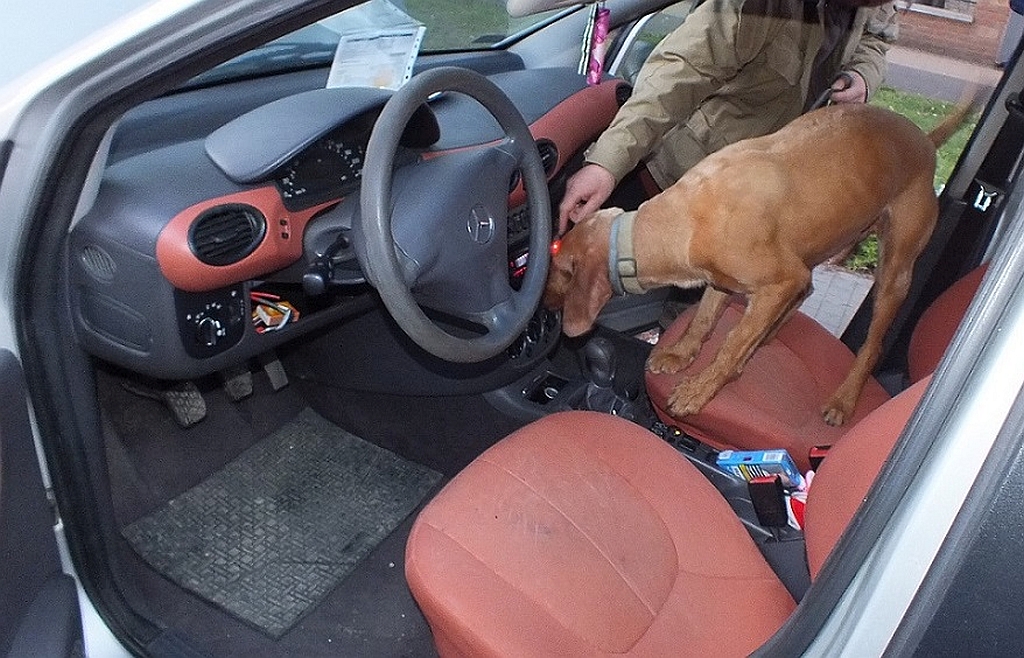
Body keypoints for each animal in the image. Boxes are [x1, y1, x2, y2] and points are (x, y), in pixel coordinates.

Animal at [545, 101, 973, 426]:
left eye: (555, 266)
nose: (541, 304)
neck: (688, 215)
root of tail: (925, 141)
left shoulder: (778, 280)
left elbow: (731, 344)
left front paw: (700, 389)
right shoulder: (727, 279)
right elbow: (704, 319)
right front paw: (681, 354)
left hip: (894, 270)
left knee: (872, 344)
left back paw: (843, 400)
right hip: (819, 238)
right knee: (806, 290)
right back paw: (767, 335)